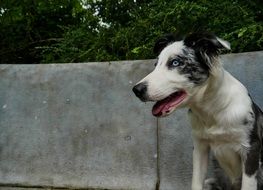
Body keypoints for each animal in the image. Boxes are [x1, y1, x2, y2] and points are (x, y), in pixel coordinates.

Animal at [134, 31, 263, 189]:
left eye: (175, 62)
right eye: (155, 64)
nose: (136, 90)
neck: (212, 109)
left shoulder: (251, 148)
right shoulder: (200, 147)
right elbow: (196, 182)